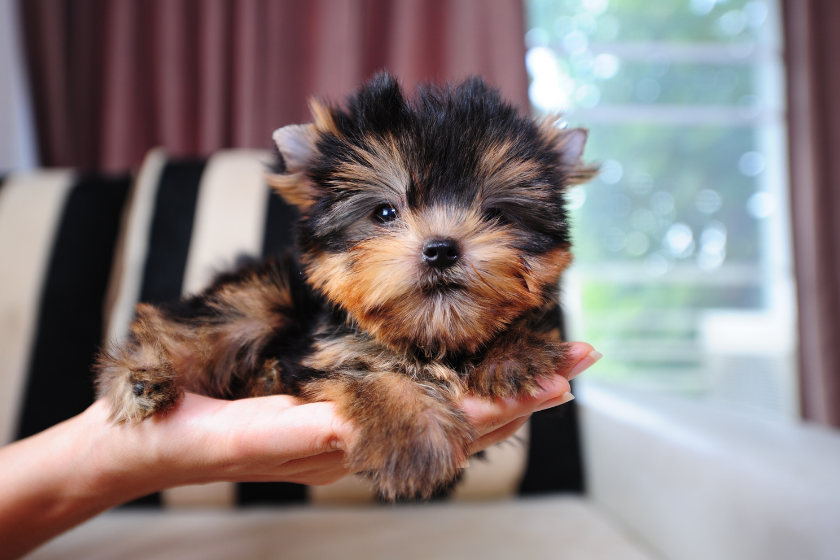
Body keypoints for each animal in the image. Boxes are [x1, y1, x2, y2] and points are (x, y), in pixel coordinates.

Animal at [97, 73, 596, 498]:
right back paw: (142, 378)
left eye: (496, 214)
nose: (441, 248)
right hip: (264, 296)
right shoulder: (326, 351)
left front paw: (513, 353)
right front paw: (415, 437)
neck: (429, 336)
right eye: (385, 213)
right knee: (194, 329)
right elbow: (371, 376)